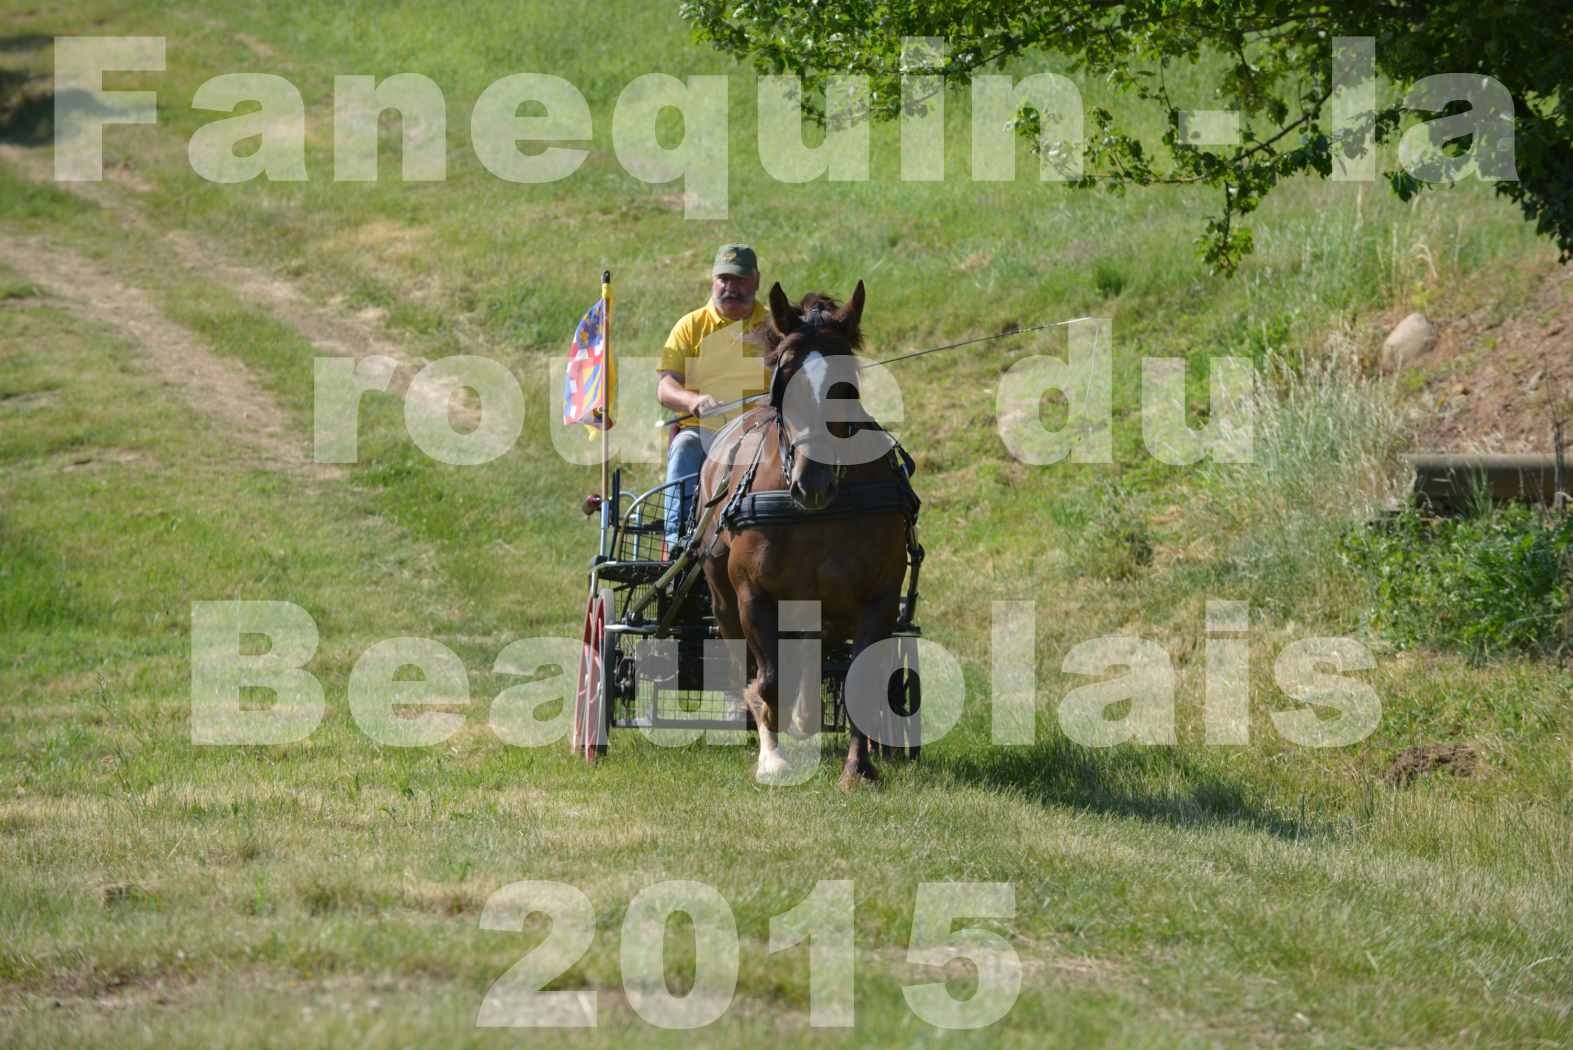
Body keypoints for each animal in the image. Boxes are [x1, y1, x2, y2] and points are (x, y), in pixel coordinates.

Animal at [695, 278, 918, 785]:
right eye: (786, 377)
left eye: (846, 385)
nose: (811, 482)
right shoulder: (754, 594)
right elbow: (769, 679)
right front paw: (771, 757)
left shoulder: (878, 595)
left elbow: (860, 678)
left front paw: (858, 768)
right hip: (723, 598)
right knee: (743, 661)